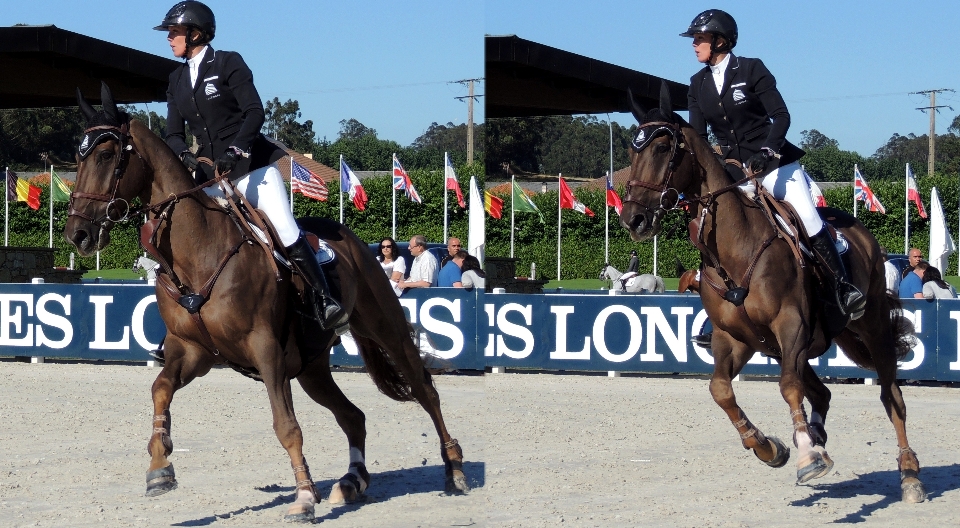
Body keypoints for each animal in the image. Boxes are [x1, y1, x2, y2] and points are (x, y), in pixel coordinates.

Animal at [63, 84, 468, 520]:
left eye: (106, 155)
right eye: (77, 158)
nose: (78, 235)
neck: (199, 251)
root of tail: (354, 240)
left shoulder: (265, 349)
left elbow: (286, 427)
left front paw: (304, 497)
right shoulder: (192, 351)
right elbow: (160, 389)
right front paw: (160, 467)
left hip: (383, 326)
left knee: (425, 390)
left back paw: (455, 469)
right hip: (310, 367)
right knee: (353, 416)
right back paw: (352, 481)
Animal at [620, 82, 928, 504]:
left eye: (663, 148)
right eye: (630, 151)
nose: (633, 219)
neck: (734, 248)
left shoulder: (790, 324)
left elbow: (787, 387)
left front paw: (806, 458)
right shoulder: (735, 338)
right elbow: (720, 389)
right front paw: (769, 447)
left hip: (869, 326)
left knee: (890, 397)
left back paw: (908, 473)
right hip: (794, 346)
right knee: (821, 394)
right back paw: (816, 438)